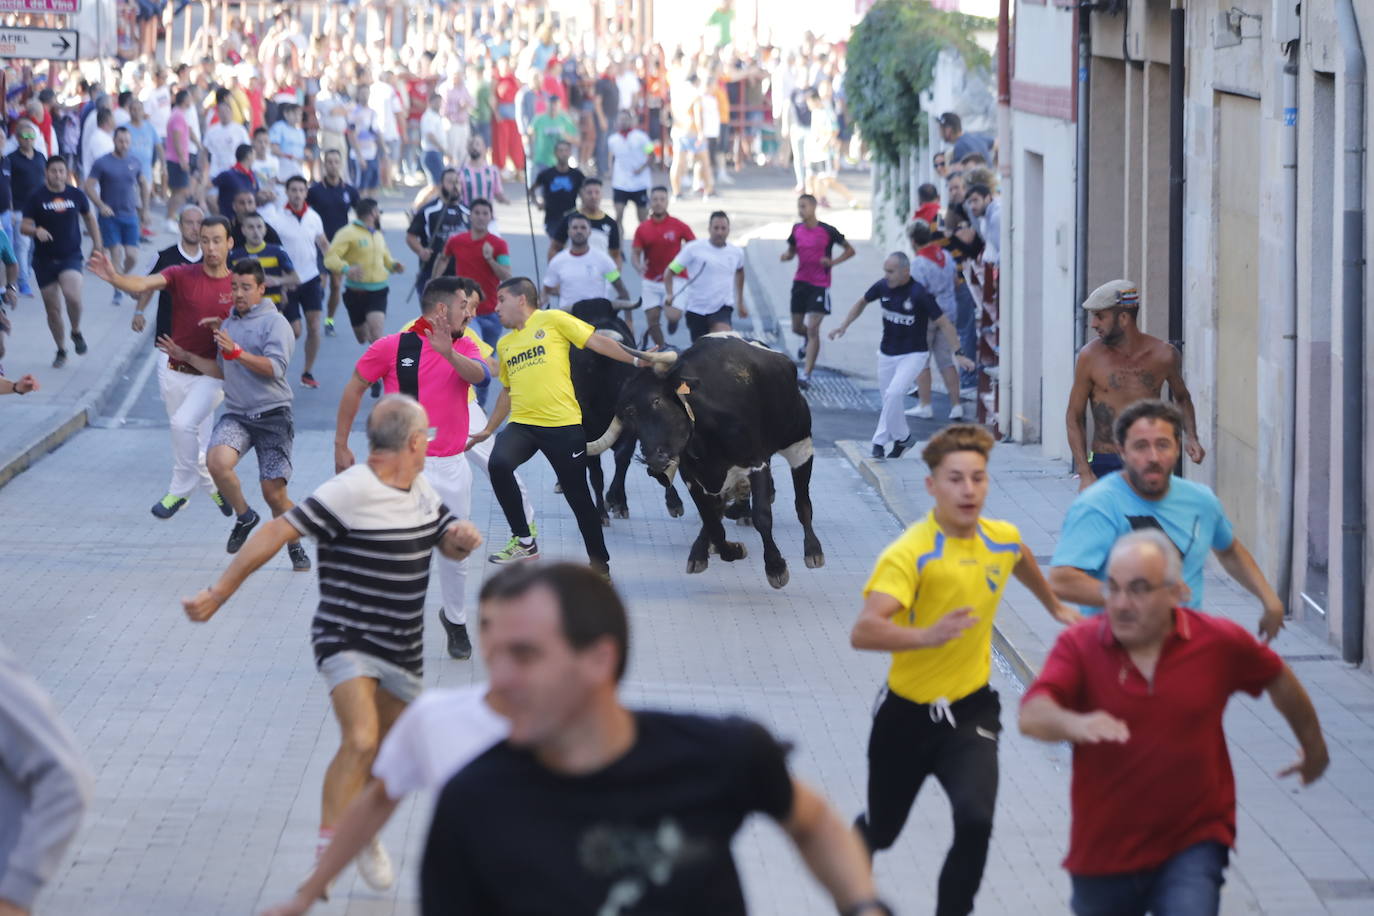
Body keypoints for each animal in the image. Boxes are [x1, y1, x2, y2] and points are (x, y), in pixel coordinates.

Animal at [566, 302, 684, 521]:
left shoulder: (631, 430)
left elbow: (622, 460)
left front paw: (618, 502)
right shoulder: (587, 431)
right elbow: (595, 472)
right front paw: (601, 512)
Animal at [585, 335, 818, 587]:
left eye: (656, 401)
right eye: (628, 416)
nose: (654, 460)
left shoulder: (757, 463)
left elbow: (762, 516)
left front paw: (776, 567)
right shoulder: (694, 476)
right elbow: (712, 521)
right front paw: (731, 550)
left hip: (800, 445)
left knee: (803, 502)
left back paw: (813, 550)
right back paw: (700, 551)